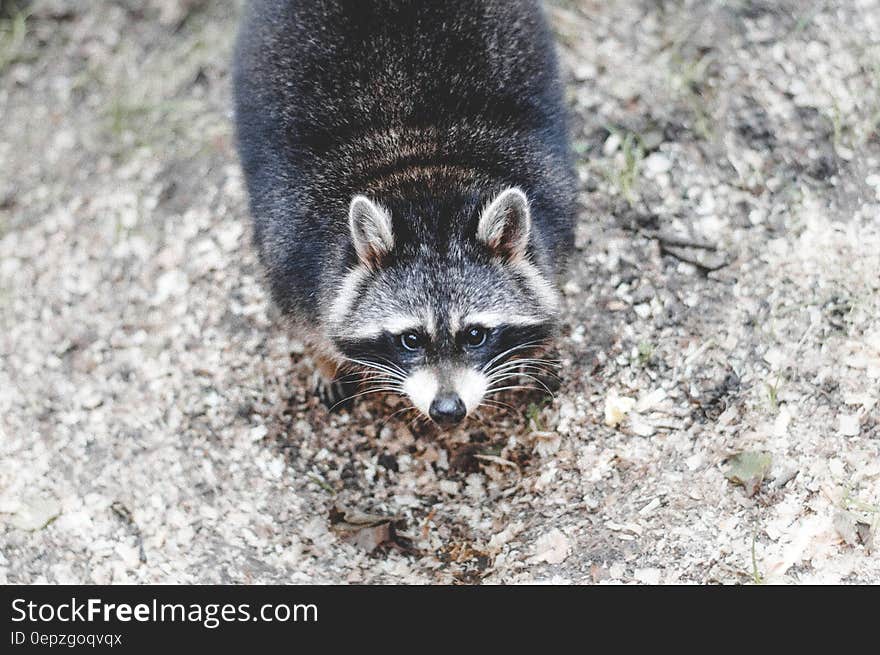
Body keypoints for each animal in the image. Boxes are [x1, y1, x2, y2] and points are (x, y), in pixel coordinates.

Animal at [234, 0, 576, 428]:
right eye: (410, 339)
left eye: (475, 335)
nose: (447, 410)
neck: (422, 172)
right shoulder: (291, 247)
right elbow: (305, 319)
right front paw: (324, 360)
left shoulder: (552, 206)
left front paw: (527, 354)